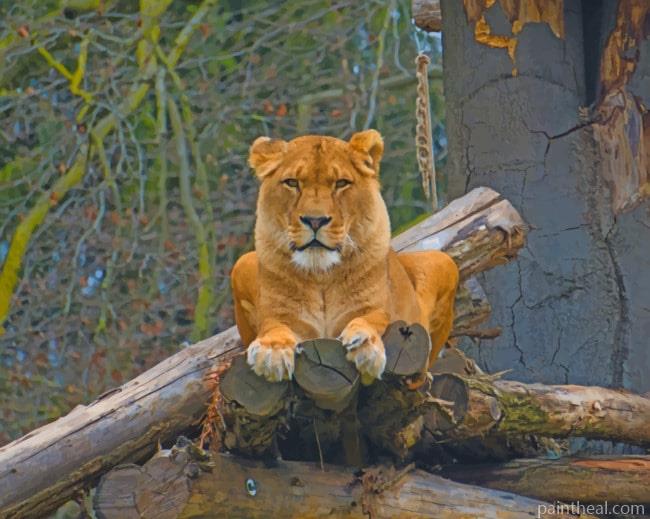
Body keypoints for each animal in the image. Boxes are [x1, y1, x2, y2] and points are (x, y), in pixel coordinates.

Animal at [231, 130, 459, 383]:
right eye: (292, 182)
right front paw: (272, 351)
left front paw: (365, 344)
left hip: (444, 262)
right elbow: (272, 326)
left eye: (341, 183)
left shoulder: (379, 309)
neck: (320, 274)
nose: (315, 220)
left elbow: (375, 318)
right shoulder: (281, 315)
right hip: (241, 263)